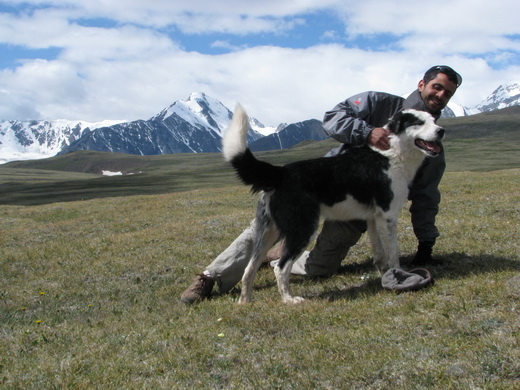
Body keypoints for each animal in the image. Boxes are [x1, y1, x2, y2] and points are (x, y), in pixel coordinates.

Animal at [222, 105, 442, 304]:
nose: (441, 131)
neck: (393, 153)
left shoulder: (373, 219)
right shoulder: (388, 217)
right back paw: (289, 300)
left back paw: (245, 301)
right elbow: (393, 253)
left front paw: (386, 277)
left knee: (250, 268)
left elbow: (380, 255)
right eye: (418, 122)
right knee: (280, 267)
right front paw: (401, 275)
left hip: (267, 232)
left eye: (433, 120)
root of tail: (280, 173)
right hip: (302, 229)